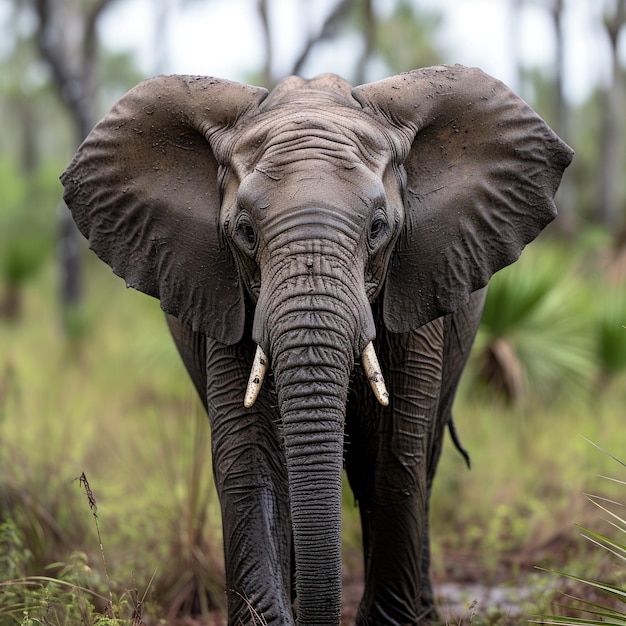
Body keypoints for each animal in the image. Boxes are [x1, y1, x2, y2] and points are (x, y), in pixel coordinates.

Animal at [62, 66, 572, 620]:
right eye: (245, 232)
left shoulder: (418, 284)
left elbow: (393, 457)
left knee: (427, 458)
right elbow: (252, 460)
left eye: (378, 228)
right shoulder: (225, 298)